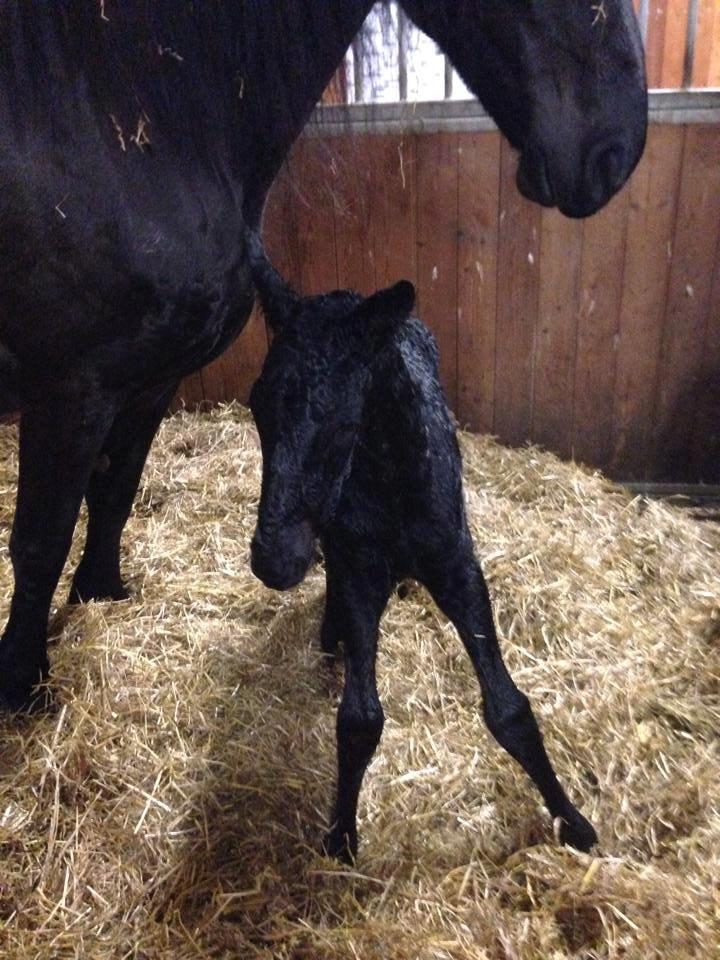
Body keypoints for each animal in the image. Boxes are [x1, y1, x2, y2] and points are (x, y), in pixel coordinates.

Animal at [0, 0, 648, 704]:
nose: (616, 153)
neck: (133, 120)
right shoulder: (73, 390)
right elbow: (39, 541)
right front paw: (20, 684)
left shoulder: (149, 379)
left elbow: (114, 492)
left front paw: (100, 598)